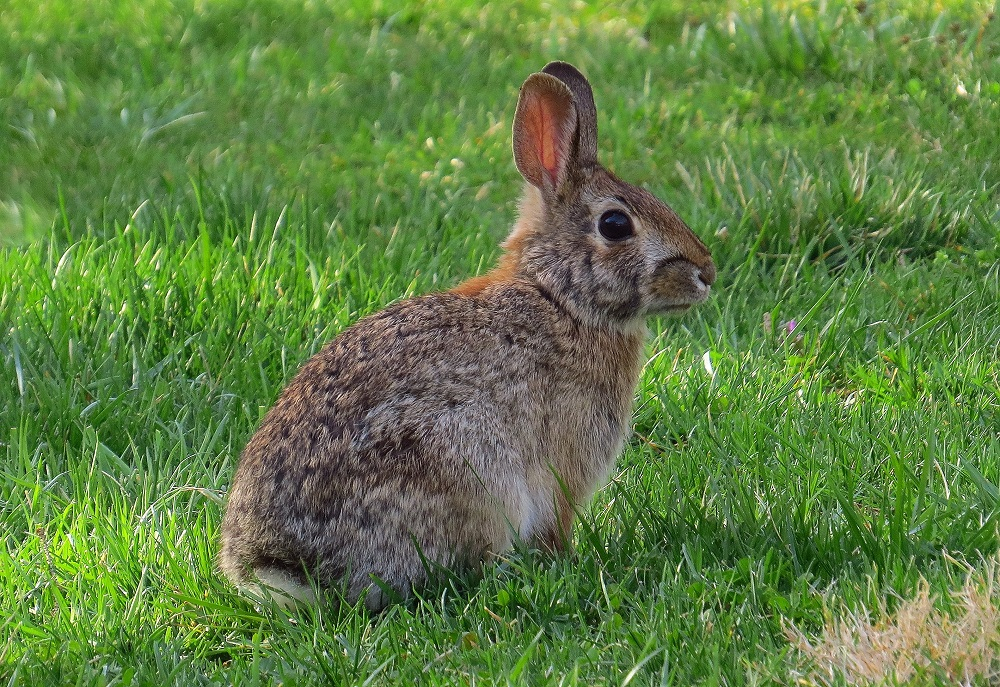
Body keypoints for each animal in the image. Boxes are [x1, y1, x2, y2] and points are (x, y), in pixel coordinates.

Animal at [222, 61, 716, 612]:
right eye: (615, 224)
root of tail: (282, 565)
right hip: (465, 466)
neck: (559, 297)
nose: (706, 273)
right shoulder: (564, 467)